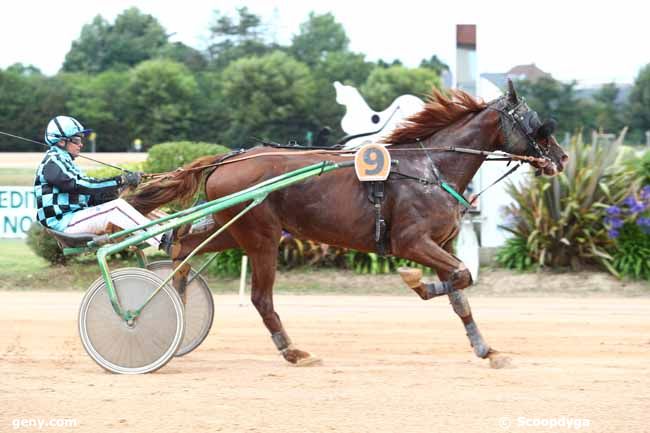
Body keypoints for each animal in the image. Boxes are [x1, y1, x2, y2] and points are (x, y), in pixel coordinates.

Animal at [129, 80, 564, 364]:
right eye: (537, 124)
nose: (560, 159)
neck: (430, 168)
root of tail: (229, 158)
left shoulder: (440, 244)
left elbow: (460, 291)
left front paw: (485, 349)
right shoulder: (412, 242)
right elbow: (459, 277)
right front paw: (416, 282)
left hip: (234, 228)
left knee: (184, 245)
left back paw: (174, 314)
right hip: (260, 236)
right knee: (260, 297)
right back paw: (291, 350)